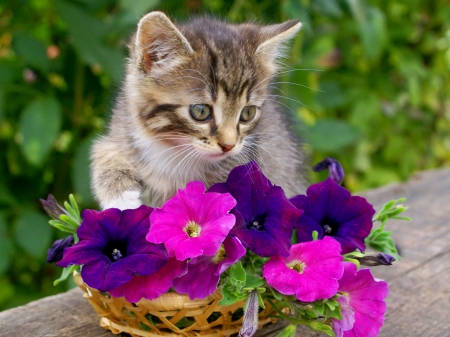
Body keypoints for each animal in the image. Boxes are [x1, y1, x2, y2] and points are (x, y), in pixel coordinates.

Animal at [93, 10, 308, 209]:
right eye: (201, 111)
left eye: (247, 113)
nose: (229, 145)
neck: (172, 149)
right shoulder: (123, 126)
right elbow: (101, 149)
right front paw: (120, 197)